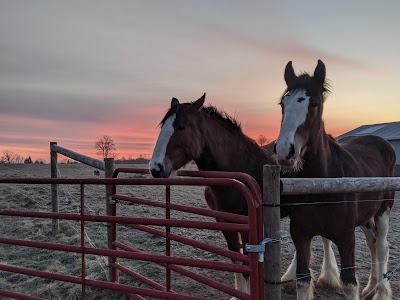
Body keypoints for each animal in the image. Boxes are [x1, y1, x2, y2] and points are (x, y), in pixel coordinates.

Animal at [150, 94, 340, 298]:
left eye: (181, 127)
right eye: (163, 126)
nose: (156, 168)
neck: (239, 165)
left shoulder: (248, 223)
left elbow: (247, 262)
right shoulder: (224, 220)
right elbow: (236, 259)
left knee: (325, 239)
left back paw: (328, 277)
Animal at [274, 60, 396, 300]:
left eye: (314, 104)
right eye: (283, 103)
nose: (284, 152)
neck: (320, 182)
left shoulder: (346, 237)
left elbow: (349, 283)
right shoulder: (300, 234)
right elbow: (303, 280)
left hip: (383, 209)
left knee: (382, 247)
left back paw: (380, 291)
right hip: (366, 216)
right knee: (372, 243)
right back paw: (370, 287)